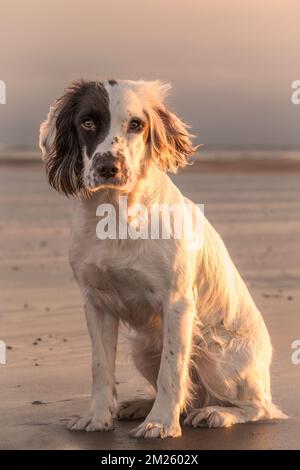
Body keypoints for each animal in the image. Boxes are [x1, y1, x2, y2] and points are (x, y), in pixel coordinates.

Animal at [39, 79, 286, 438]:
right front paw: (97, 417)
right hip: (144, 348)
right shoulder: (96, 303)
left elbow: (172, 371)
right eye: (87, 122)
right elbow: (100, 367)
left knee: (259, 407)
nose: (108, 167)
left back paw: (217, 413)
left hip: (216, 356)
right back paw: (140, 405)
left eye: (136, 124)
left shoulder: (177, 303)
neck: (117, 213)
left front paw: (160, 423)